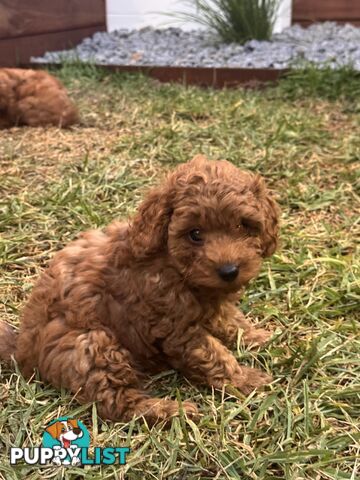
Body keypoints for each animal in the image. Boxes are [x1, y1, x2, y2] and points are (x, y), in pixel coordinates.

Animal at [0, 157, 280, 424]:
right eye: (195, 234)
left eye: (243, 226)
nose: (229, 271)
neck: (172, 263)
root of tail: (22, 351)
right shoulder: (177, 327)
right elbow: (213, 355)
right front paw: (245, 380)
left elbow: (230, 320)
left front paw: (258, 336)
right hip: (92, 345)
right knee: (115, 400)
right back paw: (169, 411)